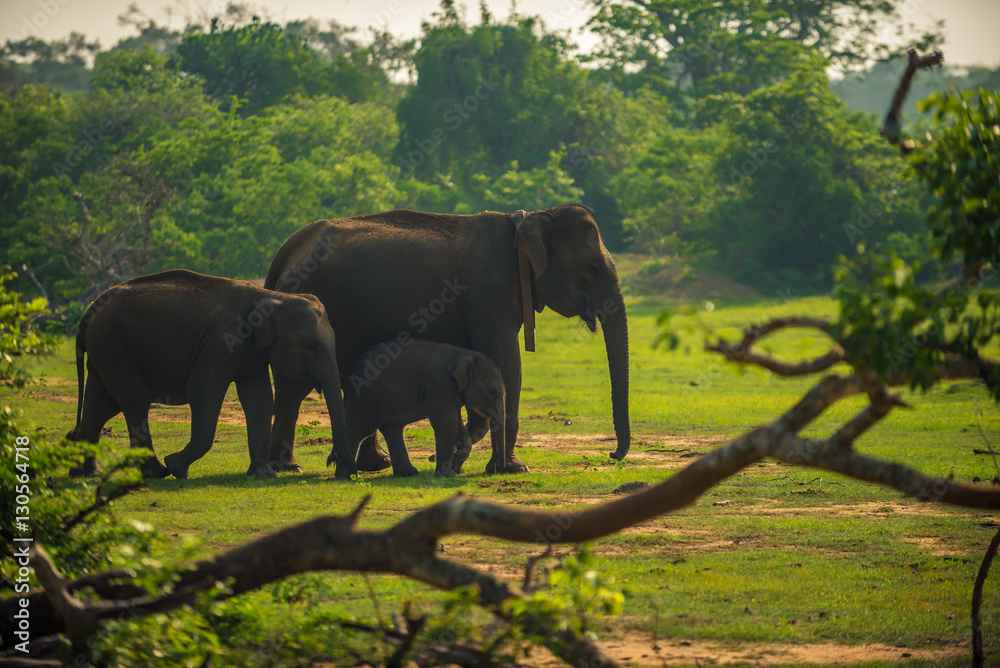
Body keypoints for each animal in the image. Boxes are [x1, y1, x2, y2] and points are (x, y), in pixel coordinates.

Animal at [66, 269, 356, 479]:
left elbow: (259, 398)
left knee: (101, 404)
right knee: (135, 399)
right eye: (311, 347)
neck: (271, 295)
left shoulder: (251, 354)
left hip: (105, 350)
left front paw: (264, 475)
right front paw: (176, 467)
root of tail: (89, 310)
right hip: (113, 346)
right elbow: (203, 391)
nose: (335, 465)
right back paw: (157, 472)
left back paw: (85, 474)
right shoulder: (221, 341)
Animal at [338, 339, 506, 477]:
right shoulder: (440, 383)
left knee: (393, 429)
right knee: (358, 429)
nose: (501, 469)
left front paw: (454, 468)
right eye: (491, 391)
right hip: (364, 396)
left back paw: (408, 473)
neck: (463, 353)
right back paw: (346, 475)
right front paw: (448, 475)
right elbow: (446, 423)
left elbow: (456, 423)